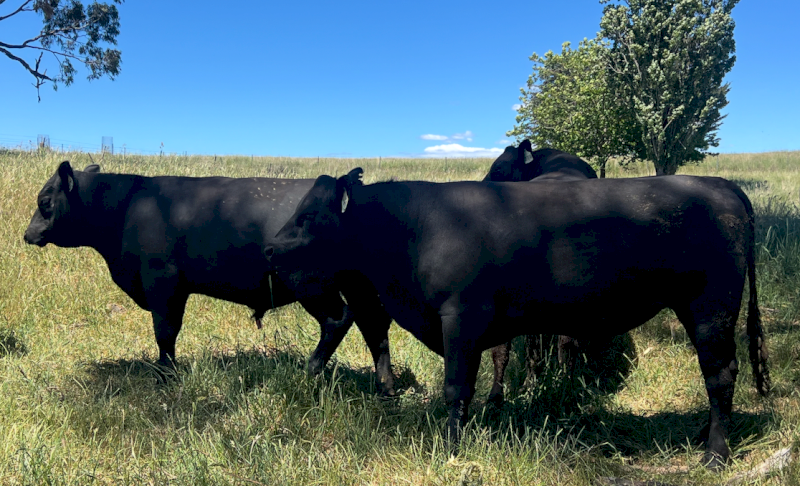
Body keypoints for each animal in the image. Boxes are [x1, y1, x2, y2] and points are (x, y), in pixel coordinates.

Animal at [23, 161, 395, 394]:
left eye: (45, 201)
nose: (28, 234)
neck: (129, 204)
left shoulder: (163, 283)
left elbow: (165, 332)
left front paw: (166, 376)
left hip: (312, 285)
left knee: (339, 319)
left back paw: (309, 371)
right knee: (373, 324)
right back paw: (386, 387)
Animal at [265, 168, 771, 468]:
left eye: (308, 216)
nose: (270, 248)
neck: (414, 228)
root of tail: (721, 184)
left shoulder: (460, 318)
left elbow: (455, 389)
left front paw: (450, 449)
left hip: (710, 308)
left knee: (720, 373)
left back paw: (715, 454)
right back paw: (704, 435)